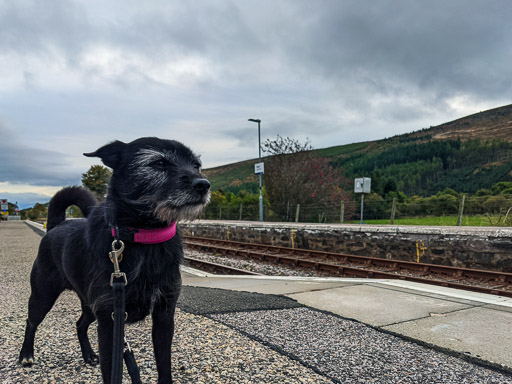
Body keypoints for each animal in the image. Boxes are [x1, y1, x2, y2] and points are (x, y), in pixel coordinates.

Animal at [19, 136, 209, 382]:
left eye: (196, 165)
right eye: (159, 163)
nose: (203, 184)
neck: (144, 237)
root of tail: (55, 225)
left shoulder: (164, 315)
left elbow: (164, 365)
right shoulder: (109, 321)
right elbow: (111, 372)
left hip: (89, 305)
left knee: (80, 324)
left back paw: (89, 355)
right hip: (43, 295)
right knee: (31, 321)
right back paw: (26, 354)